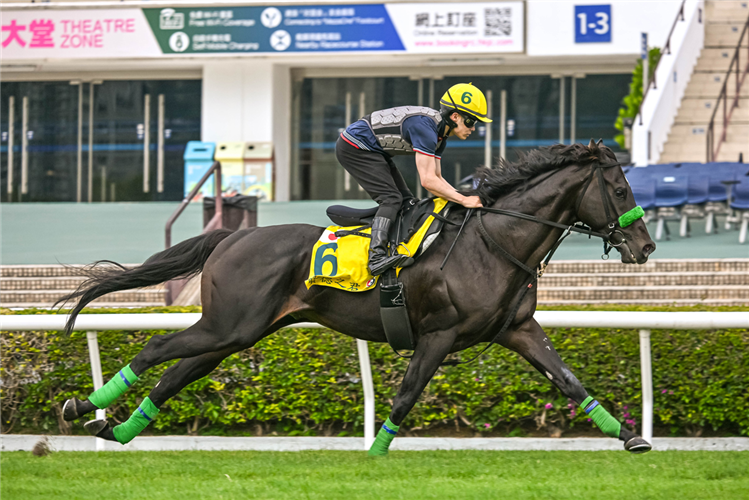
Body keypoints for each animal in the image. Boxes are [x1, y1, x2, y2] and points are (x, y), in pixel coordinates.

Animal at [58, 140, 656, 454]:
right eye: (620, 188)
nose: (646, 246)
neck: (494, 242)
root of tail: (231, 235)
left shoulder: (518, 329)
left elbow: (570, 381)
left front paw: (630, 437)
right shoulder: (438, 335)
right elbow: (407, 394)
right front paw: (373, 454)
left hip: (238, 331)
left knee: (179, 371)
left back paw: (118, 427)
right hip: (231, 323)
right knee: (157, 349)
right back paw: (84, 407)